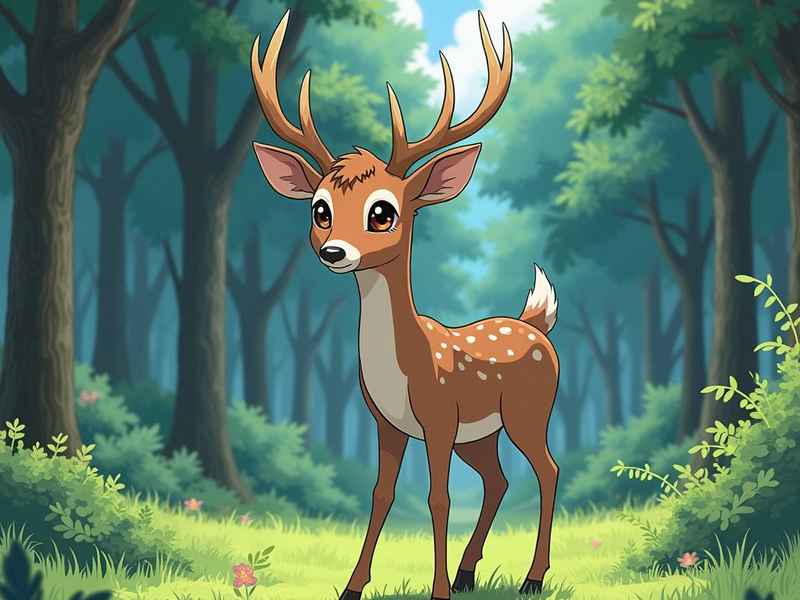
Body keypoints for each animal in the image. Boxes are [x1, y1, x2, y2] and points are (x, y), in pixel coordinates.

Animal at [250, 10, 560, 599]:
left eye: (382, 212)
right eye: (320, 208)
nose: (333, 252)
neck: (405, 369)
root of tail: (537, 325)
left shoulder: (439, 417)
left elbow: (439, 499)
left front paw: (436, 589)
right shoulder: (385, 423)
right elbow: (381, 495)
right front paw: (353, 587)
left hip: (529, 411)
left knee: (548, 471)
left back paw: (531, 578)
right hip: (480, 435)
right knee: (499, 479)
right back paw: (469, 572)